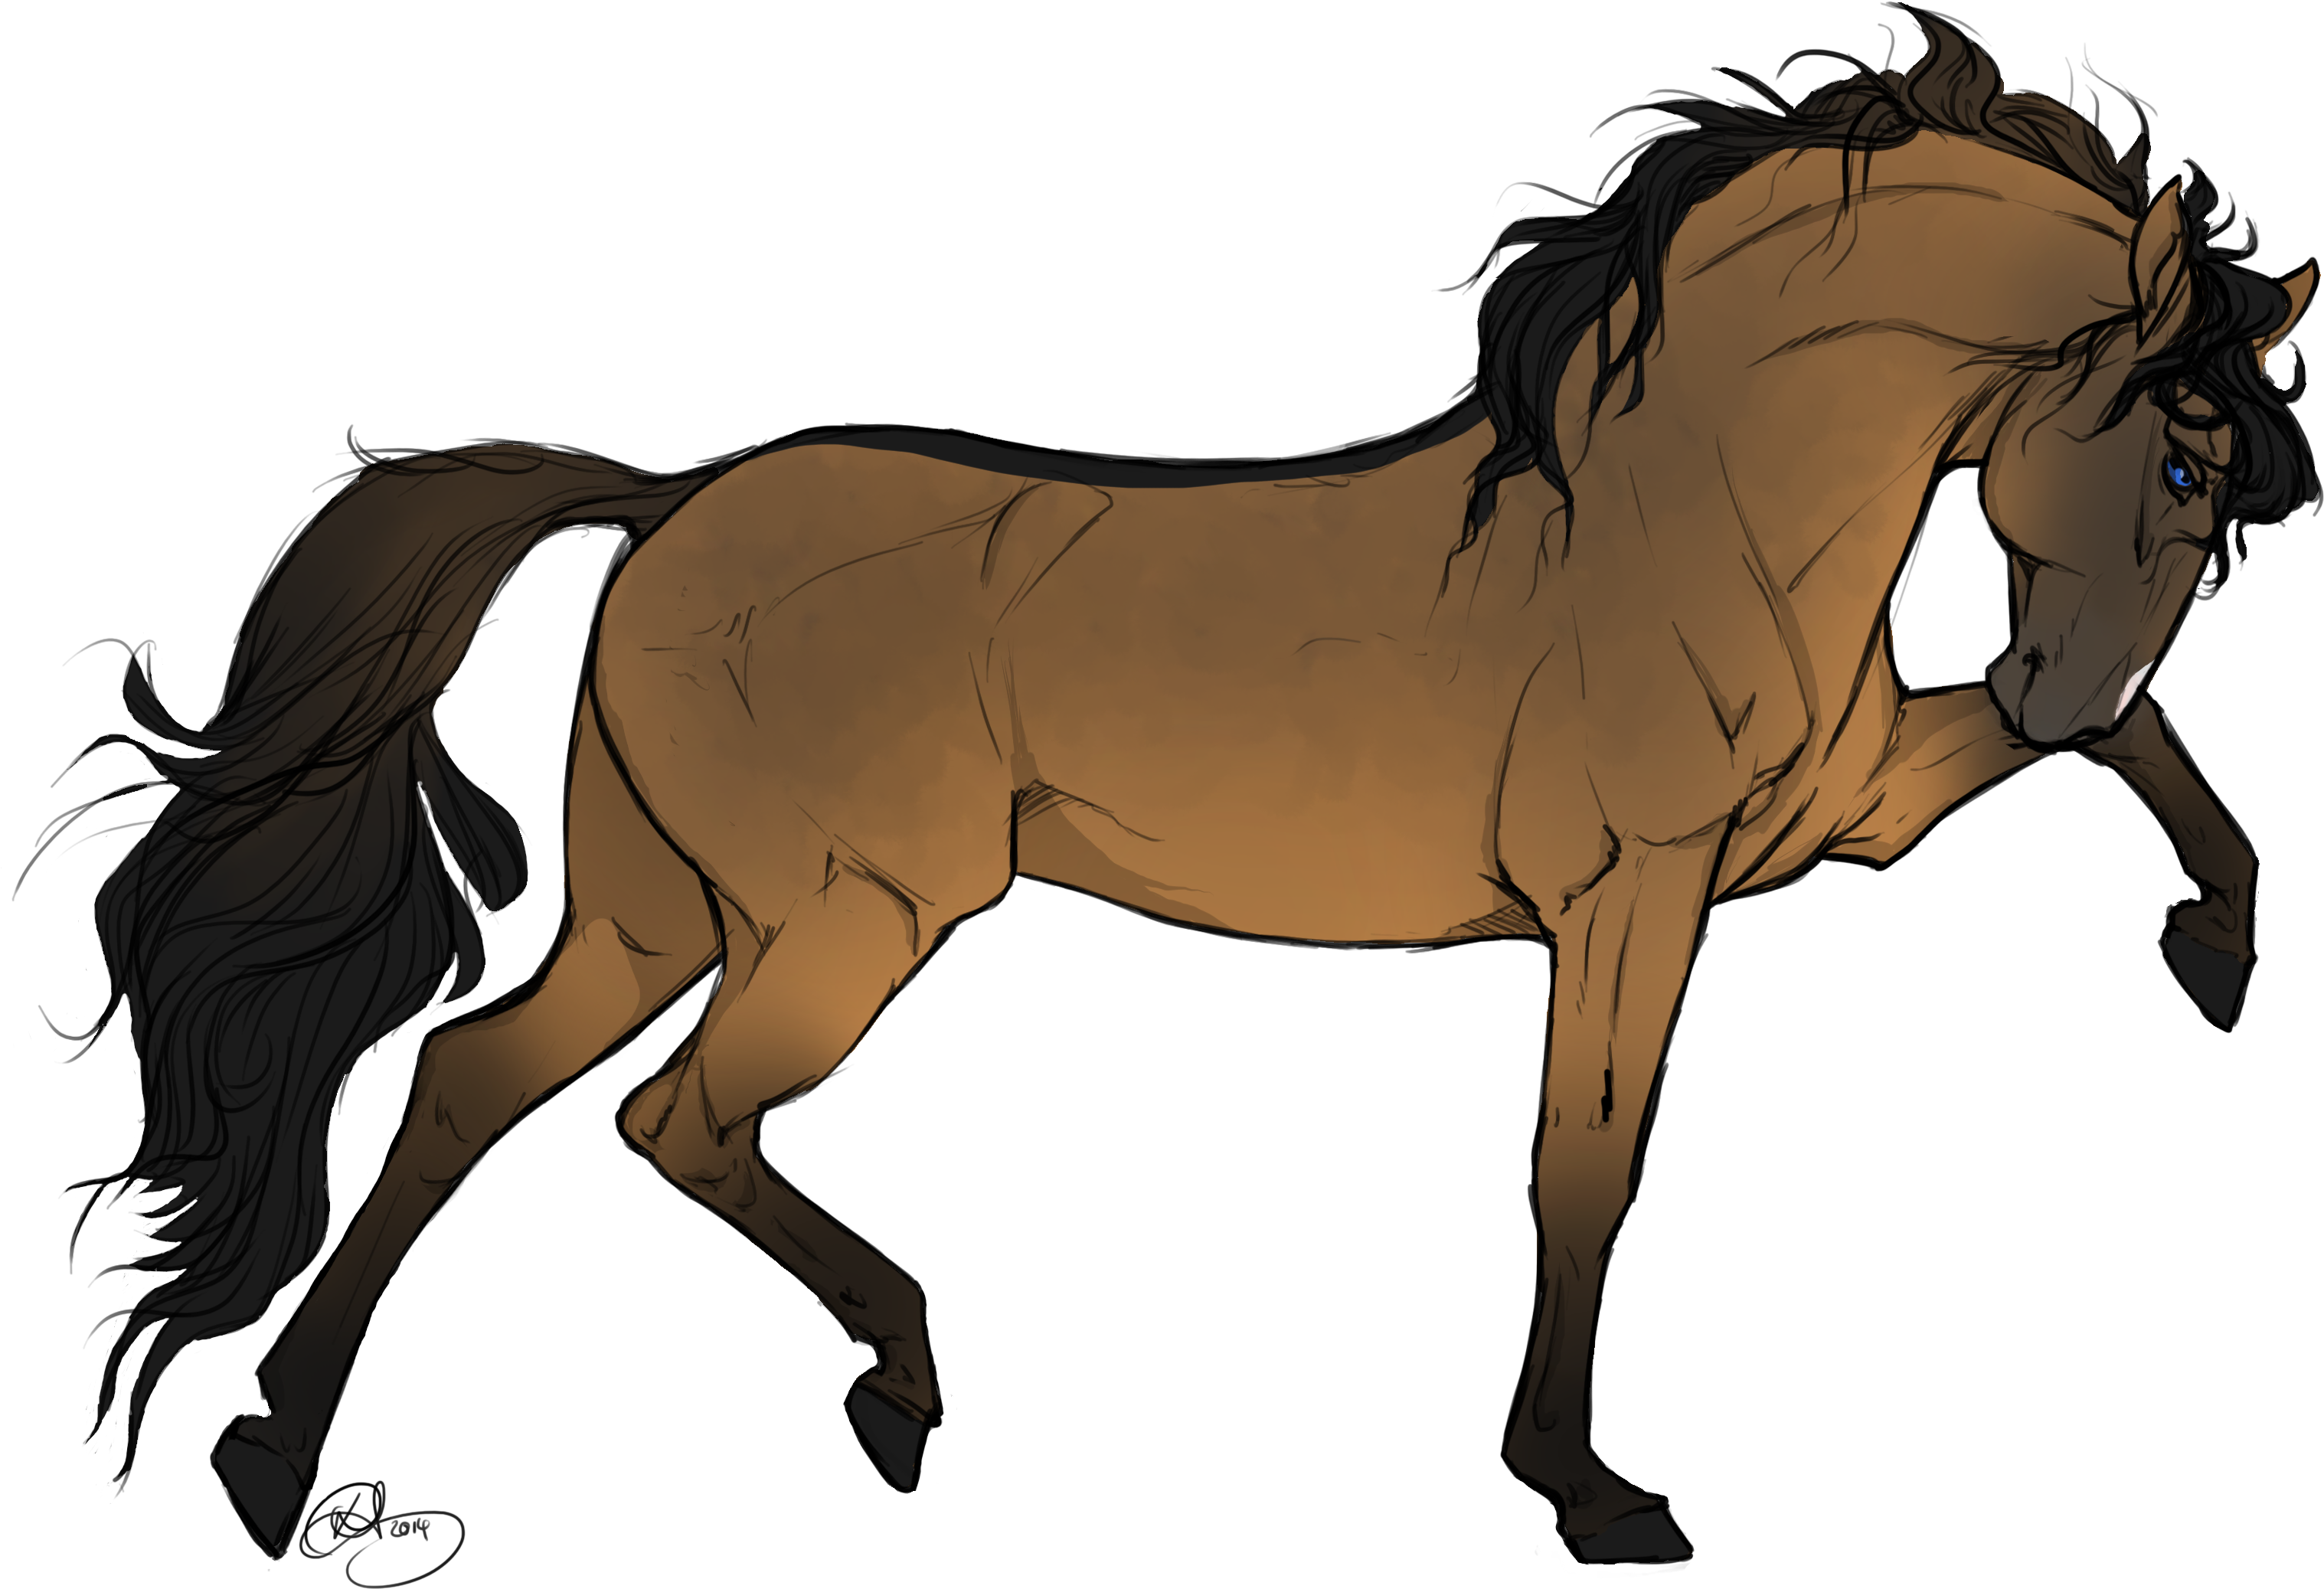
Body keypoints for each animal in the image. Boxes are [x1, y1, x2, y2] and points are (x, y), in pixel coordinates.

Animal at [79, 15, 2313, 1567]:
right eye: (2175, 447)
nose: (2057, 660)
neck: (1696, 511)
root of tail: (670, 512)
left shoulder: (1825, 811)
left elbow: (2116, 761)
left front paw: (2219, 940)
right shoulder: (1633, 886)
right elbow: (1583, 1164)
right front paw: (1589, 1487)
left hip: (661, 907)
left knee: (468, 1080)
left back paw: (272, 1445)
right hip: (837, 919)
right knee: (673, 1115)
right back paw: (902, 1376)